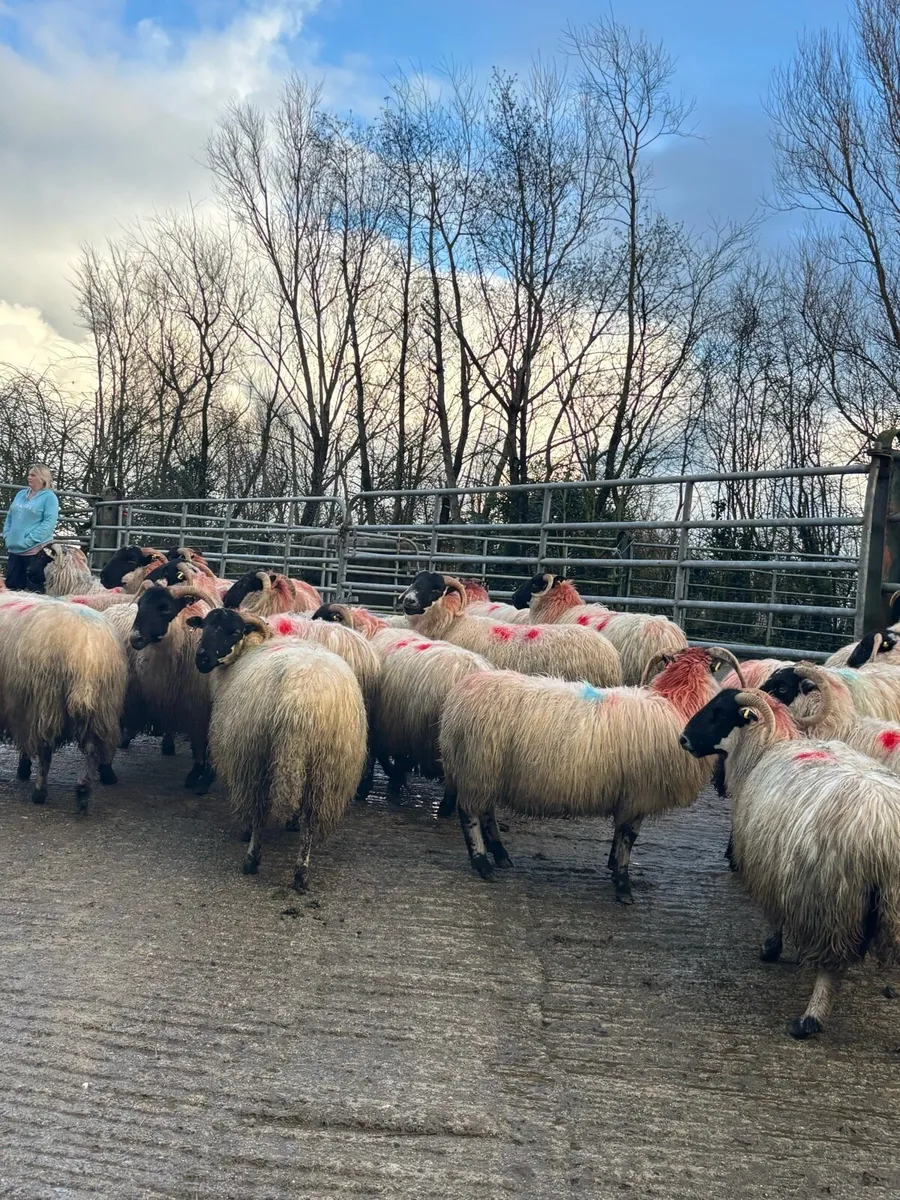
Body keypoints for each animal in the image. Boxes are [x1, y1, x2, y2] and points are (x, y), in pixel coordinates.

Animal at [0, 594, 126, 811]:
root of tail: (87, 656)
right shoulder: (20, 706)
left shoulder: (23, 705)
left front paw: (24, 769)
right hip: (102, 708)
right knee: (93, 749)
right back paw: (83, 791)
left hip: (47, 701)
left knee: (45, 750)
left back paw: (40, 792)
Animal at [129, 583, 222, 788]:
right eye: (139, 605)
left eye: (165, 608)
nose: (135, 638)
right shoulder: (189, 705)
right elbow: (198, 741)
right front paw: (196, 772)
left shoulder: (205, 708)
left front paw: (206, 777)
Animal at [188, 607, 368, 889]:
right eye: (204, 626)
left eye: (234, 631)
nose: (202, 658)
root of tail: (301, 701)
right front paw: (291, 822)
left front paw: (246, 830)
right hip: (325, 766)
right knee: (310, 819)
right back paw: (301, 873)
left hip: (259, 754)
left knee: (260, 808)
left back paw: (251, 859)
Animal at [438, 644, 743, 902]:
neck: (675, 704)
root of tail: (458, 695)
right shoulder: (639, 795)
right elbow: (628, 837)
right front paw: (623, 887)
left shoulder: (629, 795)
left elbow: (620, 834)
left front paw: (612, 865)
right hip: (478, 766)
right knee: (470, 813)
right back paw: (483, 863)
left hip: (485, 771)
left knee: (486, 811)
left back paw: (500, 854)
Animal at [680, 687, 900, 1039]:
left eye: (718, 712)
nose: (683, 739)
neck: (767, 748)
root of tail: (887, 835)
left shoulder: (774, 869)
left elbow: (775, 916)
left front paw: (770, 948)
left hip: (834, 900)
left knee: (830, 966)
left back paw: (809, 1019)